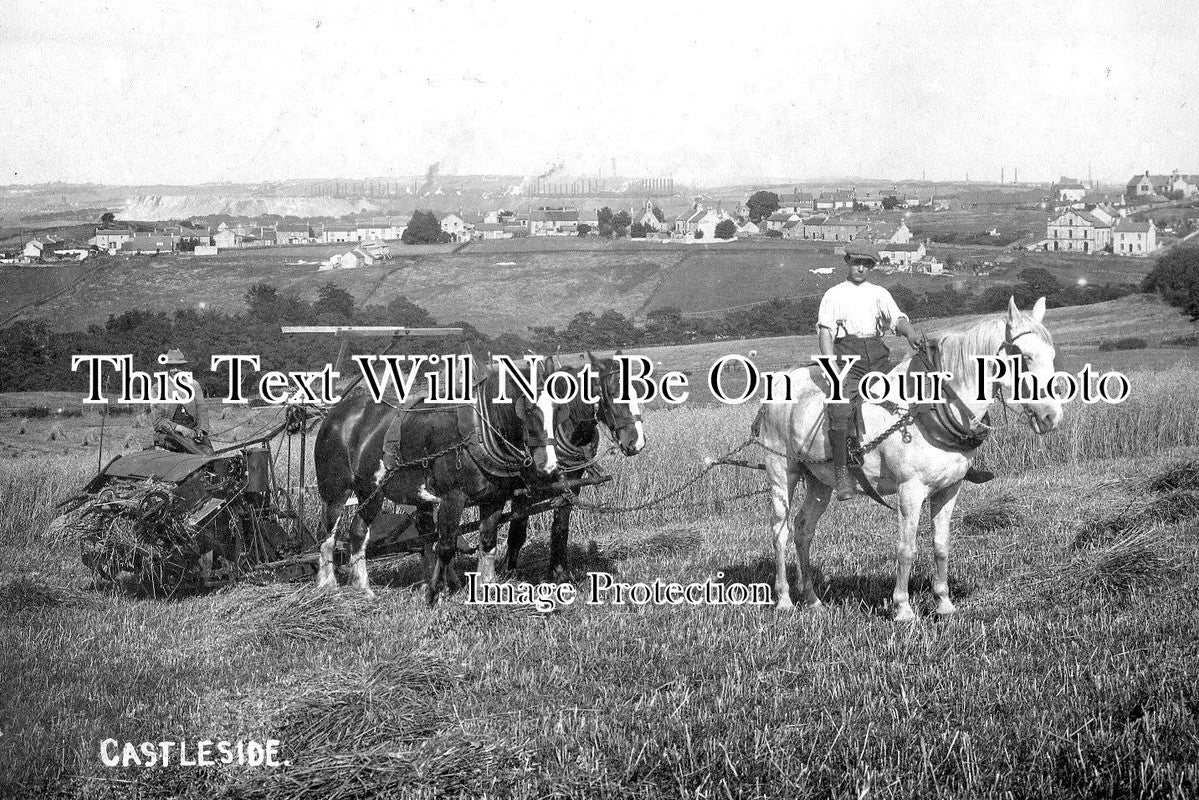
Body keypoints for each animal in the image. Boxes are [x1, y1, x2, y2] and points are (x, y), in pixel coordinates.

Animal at [318, 362, 561, 599]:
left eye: (558, 409)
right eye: (528, 409)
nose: (548, 466)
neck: (478, 432)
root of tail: (334, 414)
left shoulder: (494, 499)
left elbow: (487, 542)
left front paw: (485, 588)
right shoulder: (452, 498)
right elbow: (445, 546)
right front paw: (434, 593)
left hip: (369, 492)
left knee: (358, 532)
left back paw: (362, 588)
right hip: (340, 492)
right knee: (330, 536)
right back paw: (329, 584)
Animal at [498, 357, 647, 582]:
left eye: (637, 390)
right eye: (613, 392)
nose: (637, 442)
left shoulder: (570, 486)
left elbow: (561, 527)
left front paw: (559, 572)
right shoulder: (522, 493)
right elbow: (517, 531)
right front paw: (508, 573)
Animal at [752, 297, 1064, 623]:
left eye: (1052, 355)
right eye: (1025, 356)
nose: (1051, 416)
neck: (928, 407)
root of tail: (776, 387)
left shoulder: (949, 489)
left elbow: (941, 545)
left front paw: (944, 603)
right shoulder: (910, 490)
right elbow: (907, 549)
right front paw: (902, 608)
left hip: (819, 482)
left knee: (803, 529)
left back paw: (813, 599)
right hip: (781, 471)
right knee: (780, 531)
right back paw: (784, 599)